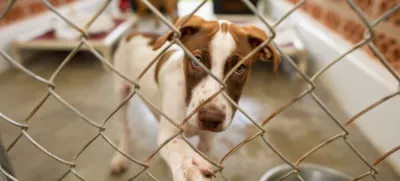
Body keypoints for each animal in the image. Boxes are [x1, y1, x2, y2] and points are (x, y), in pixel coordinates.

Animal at [109, 14, 278, 181]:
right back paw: (120, 158)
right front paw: (190, 166)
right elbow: (177, 146)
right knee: (124, 129)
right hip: (120, 92)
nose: (211, 118)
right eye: (197, 61)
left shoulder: (207, 140)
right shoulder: (170, 132)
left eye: (240, 68)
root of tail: (134, 34)